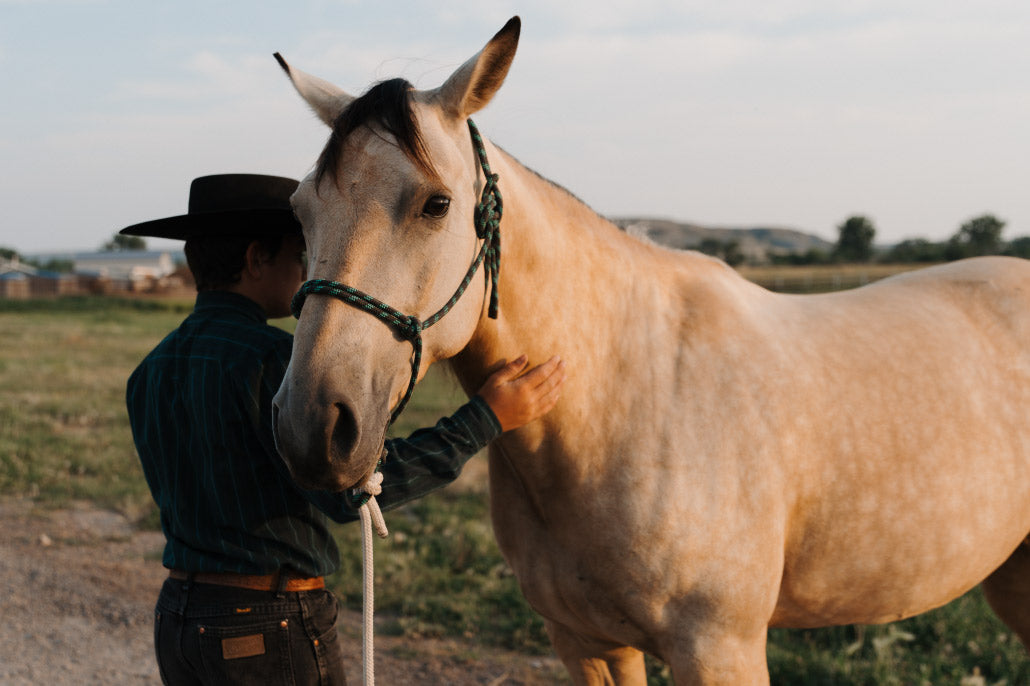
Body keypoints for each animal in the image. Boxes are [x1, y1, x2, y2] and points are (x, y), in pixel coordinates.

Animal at [270, 17, 1030, 684]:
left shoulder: (719, 648)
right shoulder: (586, 643)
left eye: (435, 204)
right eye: (301, 211)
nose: (311, 426)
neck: (623, 396)